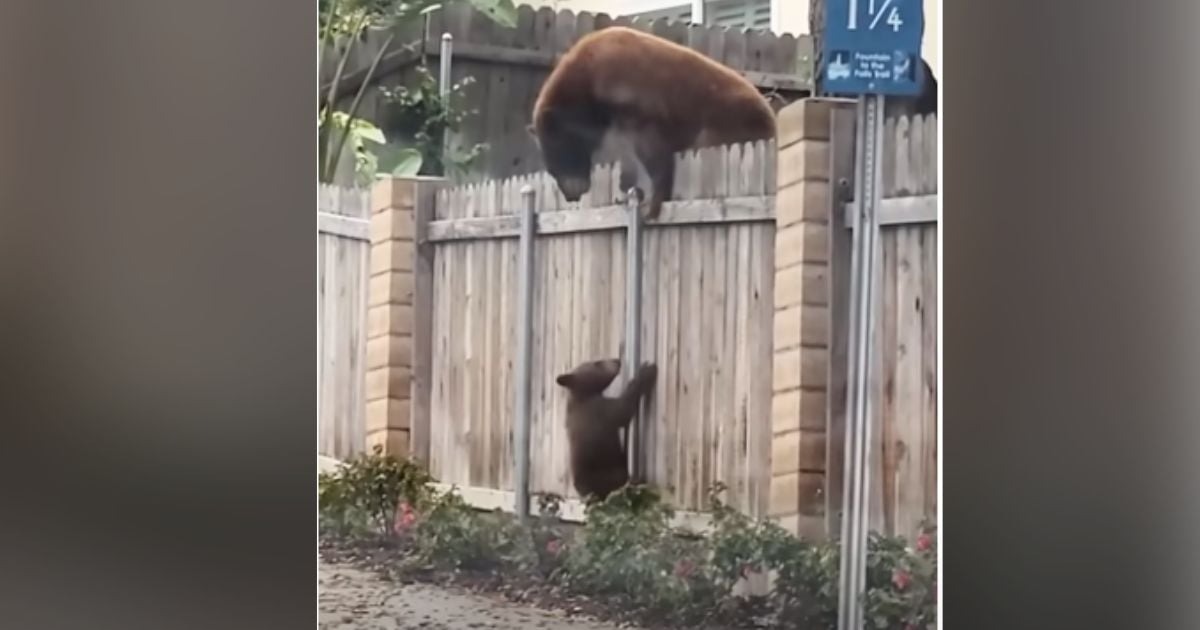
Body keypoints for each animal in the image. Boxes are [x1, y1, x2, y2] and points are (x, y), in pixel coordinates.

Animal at [529, 26, 777, 221]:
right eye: (552, 169)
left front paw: (653, 201)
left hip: (731, 119)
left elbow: (652, 147)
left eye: (558, 156)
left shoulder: (635, 98)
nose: (571, 195)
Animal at [555, 358, 658, 502]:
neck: (582, 394)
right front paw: (646, 370)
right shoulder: (599, 410)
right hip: (604, 474)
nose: (617, 360)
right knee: (618, 480)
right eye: (597, 363)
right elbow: (623, 410)